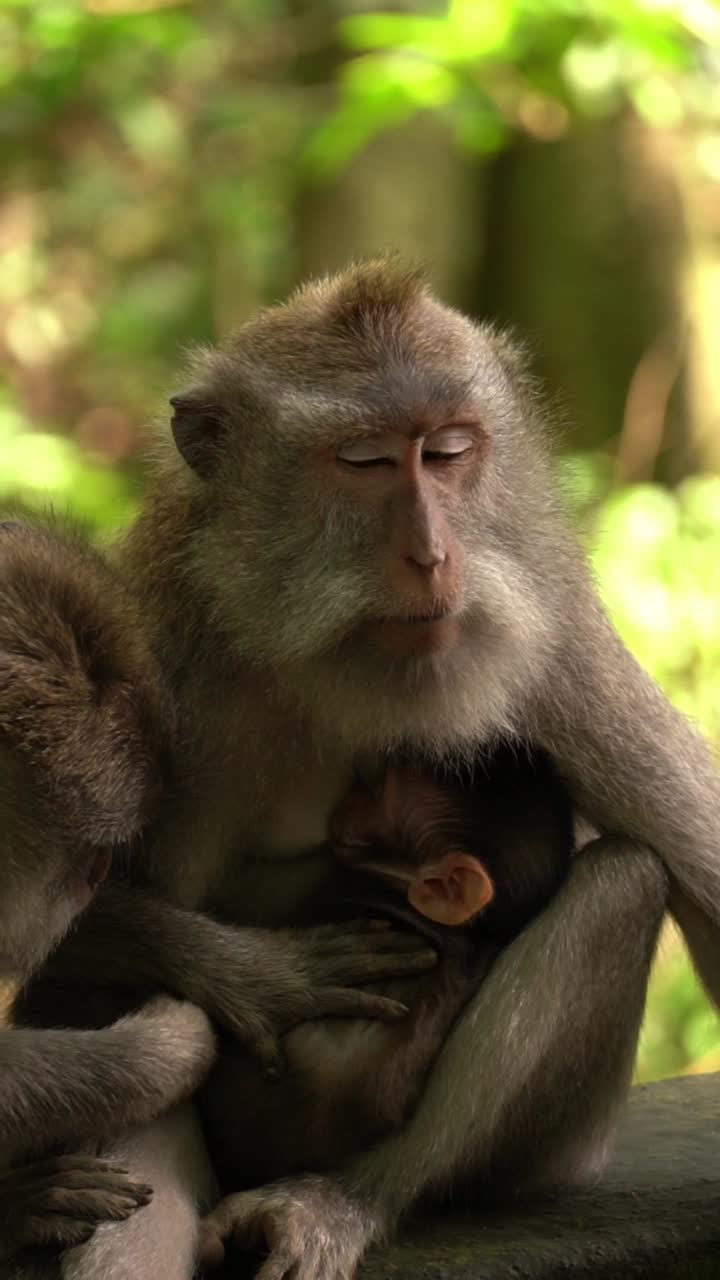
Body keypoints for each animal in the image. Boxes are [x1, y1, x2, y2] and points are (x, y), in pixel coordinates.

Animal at [16, 257, 718, 1280]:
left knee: (622, 886)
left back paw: (347, 1198)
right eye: (365, 462)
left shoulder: (556, 640)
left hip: (555, 1150)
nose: (432, 556)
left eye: (452, 451)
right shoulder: (147, 647)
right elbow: (60, 940)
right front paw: (264, 975)